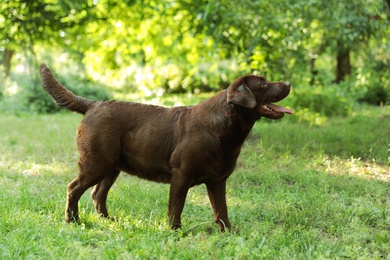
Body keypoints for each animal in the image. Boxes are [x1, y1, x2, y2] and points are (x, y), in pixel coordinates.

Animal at [39, 63, 290, 232]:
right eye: (264, 83)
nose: (288, 83)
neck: (226, 127)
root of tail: (93, 105)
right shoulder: (182, 174)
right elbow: (176, 206)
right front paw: (175, 231)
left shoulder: (218, 180)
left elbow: (221, 209)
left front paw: (228, 232)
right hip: (96, 163)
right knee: (73, 188)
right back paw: (72, 220)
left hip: (112, 166)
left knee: (97, 193)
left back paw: (107, 220)